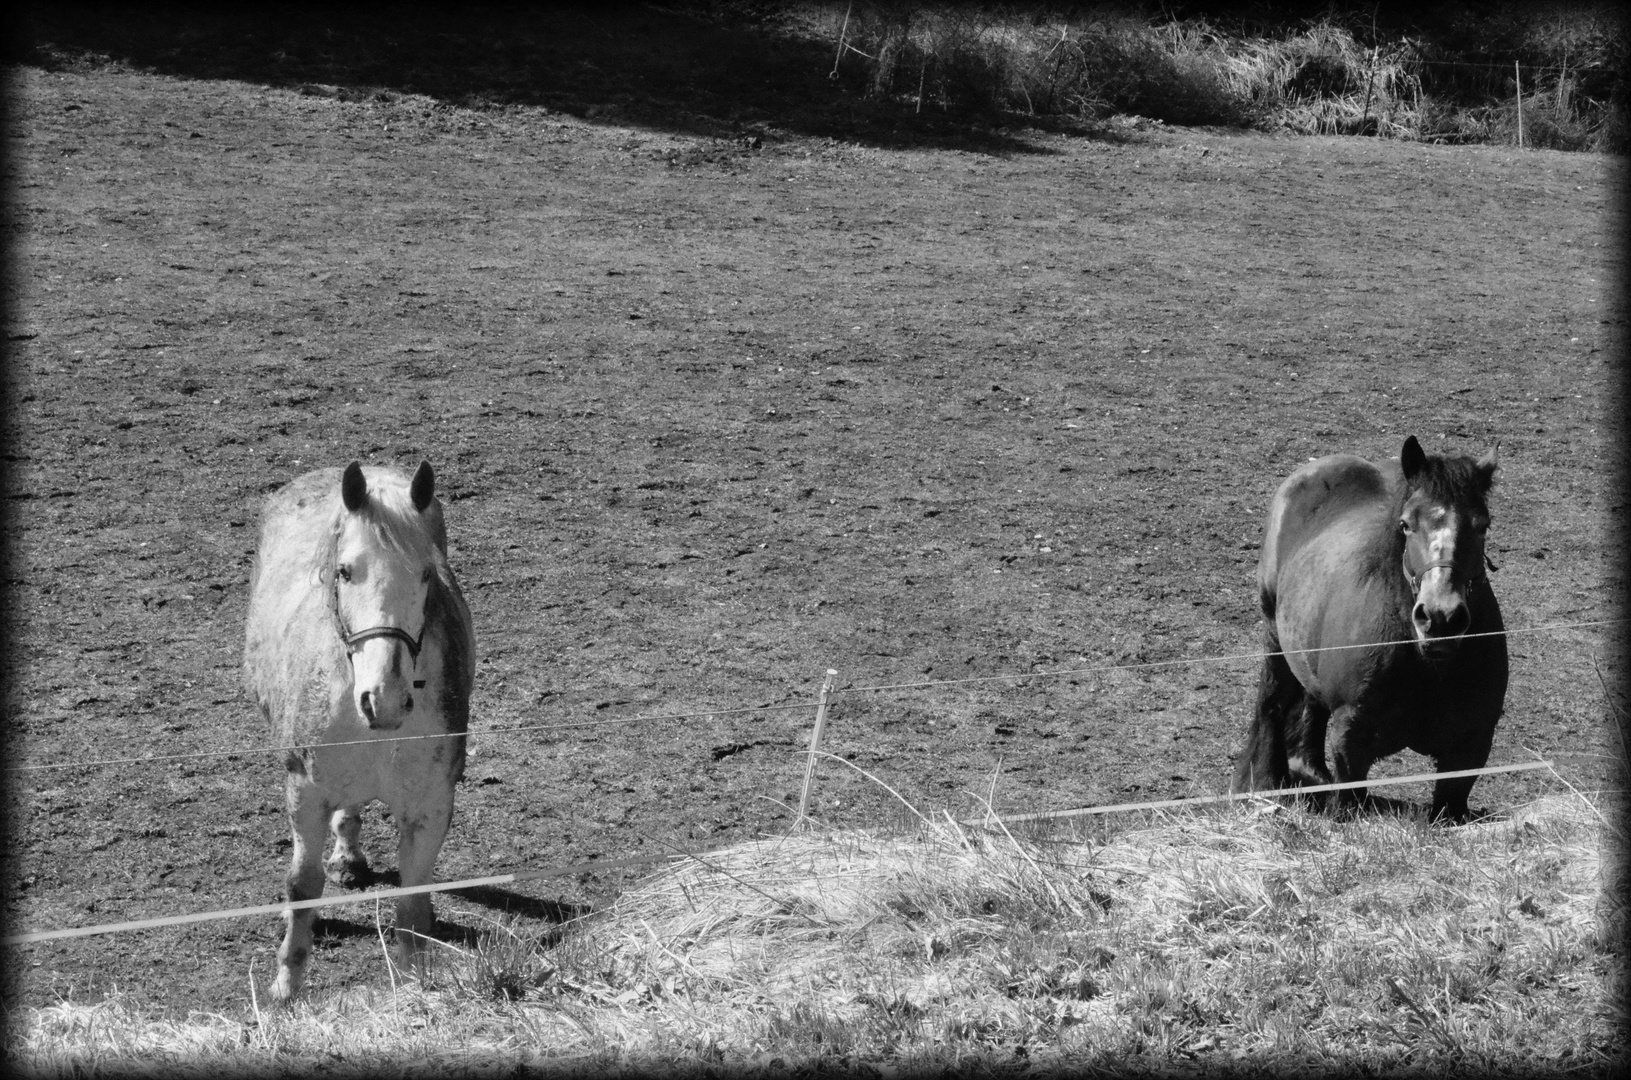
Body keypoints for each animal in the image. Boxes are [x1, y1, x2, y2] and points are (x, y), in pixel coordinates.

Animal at [241, 460, 476, 1004]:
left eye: (426, 573)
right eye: (346, 571)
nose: (383, 698)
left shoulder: (431, 804)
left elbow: (412, 903)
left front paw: (412, 988)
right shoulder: (305, 792)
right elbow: (302, 886)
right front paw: (286, 985)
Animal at [1233, 437, 1500, 825]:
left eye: (1483, 525)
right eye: (1406, 524)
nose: (1441, 617)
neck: (1422, 661)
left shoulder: (1468, 751)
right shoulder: (1351, 742)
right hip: (1273, 631)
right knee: (1271, 700)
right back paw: (1264, 784)